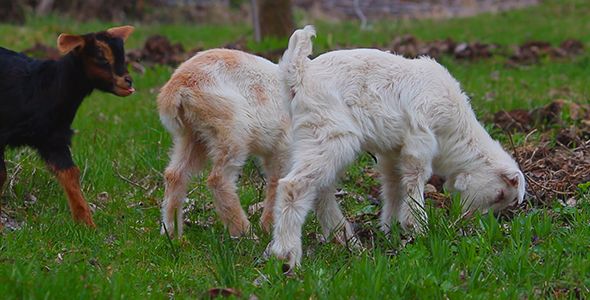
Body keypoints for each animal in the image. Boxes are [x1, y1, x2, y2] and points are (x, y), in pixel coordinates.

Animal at [158, 48, 292, 238]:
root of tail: (177, 86)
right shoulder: (283, 146)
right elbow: (277, 182)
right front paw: (269, 227)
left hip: (193, 136)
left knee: (174, 174)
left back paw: (172, 234)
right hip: (232, 131)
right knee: (218, 179)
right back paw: (244, 232)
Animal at [272, 26, 528, 270]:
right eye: (500, 194)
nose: (471, 220)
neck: (454, 130)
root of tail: (298, 71)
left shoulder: (391, 151)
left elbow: (393, 185)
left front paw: (391, 228)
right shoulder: (421, 136)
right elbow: (416, 177)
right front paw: (418, 227)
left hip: (310, 138)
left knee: (321, 189)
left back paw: (345, 241)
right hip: (331, 135)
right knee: (294, 185)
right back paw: (288, 257)